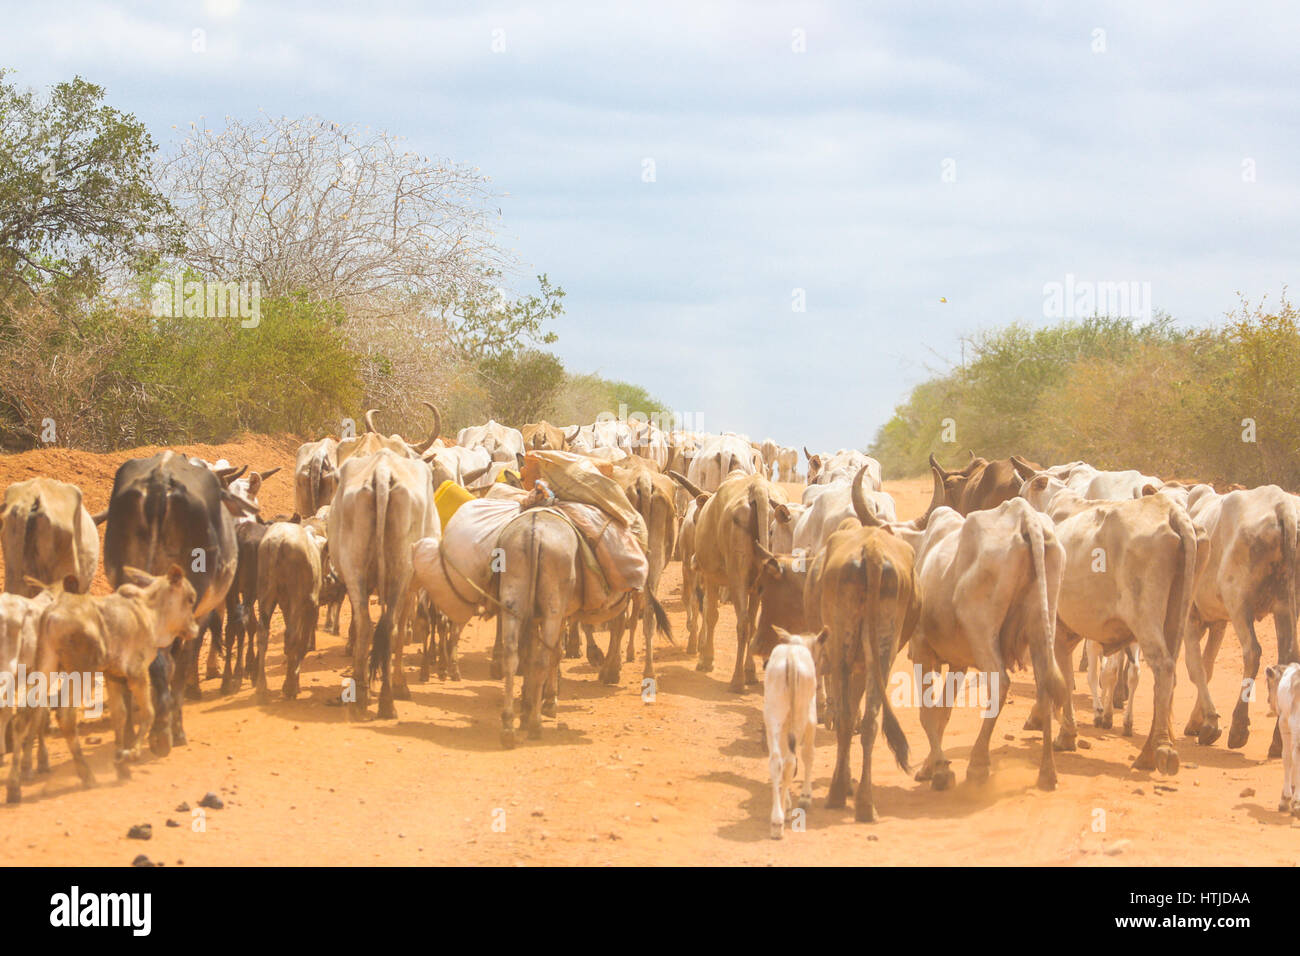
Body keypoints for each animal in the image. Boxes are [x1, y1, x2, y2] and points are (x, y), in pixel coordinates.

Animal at [759, 632, 821, 842]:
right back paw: (779, 820)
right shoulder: (811, 720)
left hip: (773, 717)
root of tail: (791, 657)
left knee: (777, 761)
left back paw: (776, 819)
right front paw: (805, 797)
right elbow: (808, 755)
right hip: (801, 717)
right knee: (790, 762)